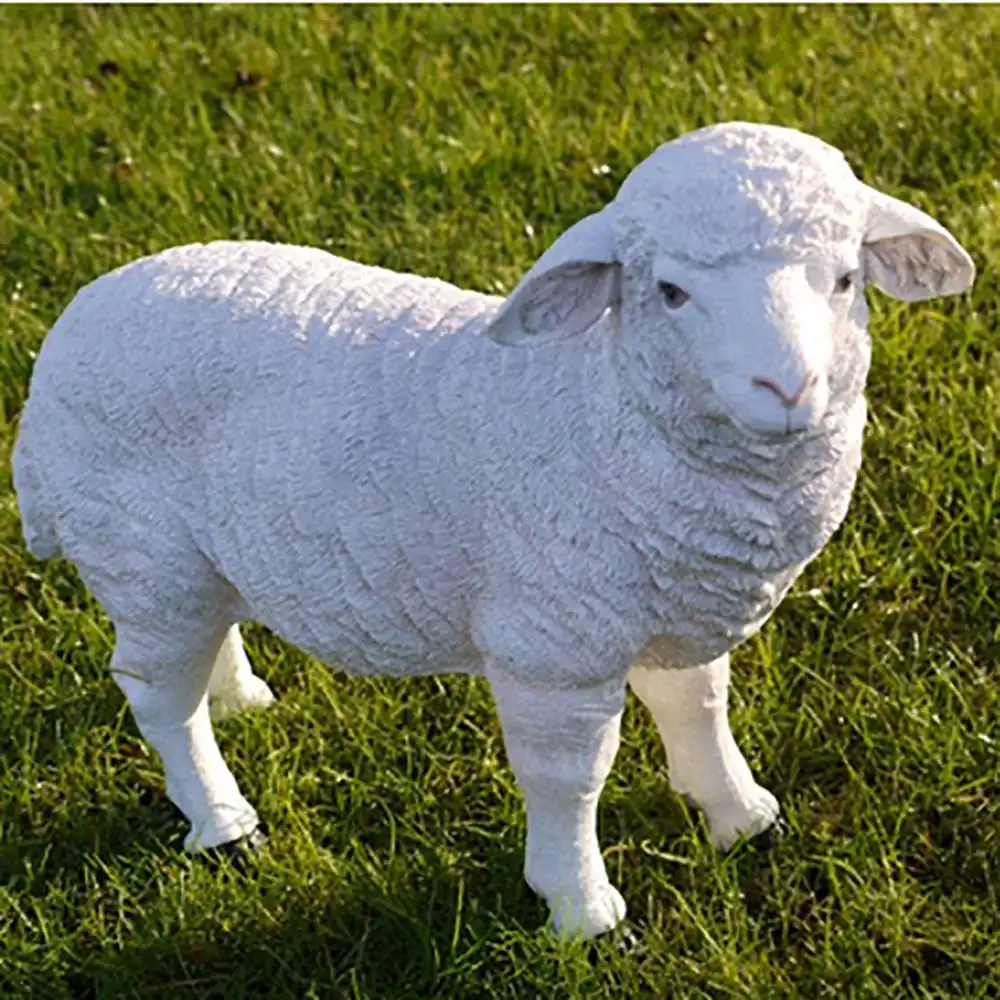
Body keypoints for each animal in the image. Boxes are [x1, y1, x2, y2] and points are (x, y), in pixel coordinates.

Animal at [12, 122, 975, 939]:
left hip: (189, 558)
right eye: (670, 293)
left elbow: (698, 707)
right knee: (155, 696)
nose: (789, 388)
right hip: (140, 552)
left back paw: (240, 699)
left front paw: (742, 818)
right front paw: (582, 911)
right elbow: (569, 776)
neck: (596, 404)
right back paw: (222, 820)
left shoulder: (670, 602)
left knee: (204, 640)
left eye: (845, 280)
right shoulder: (554, 646)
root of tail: (65, 337)